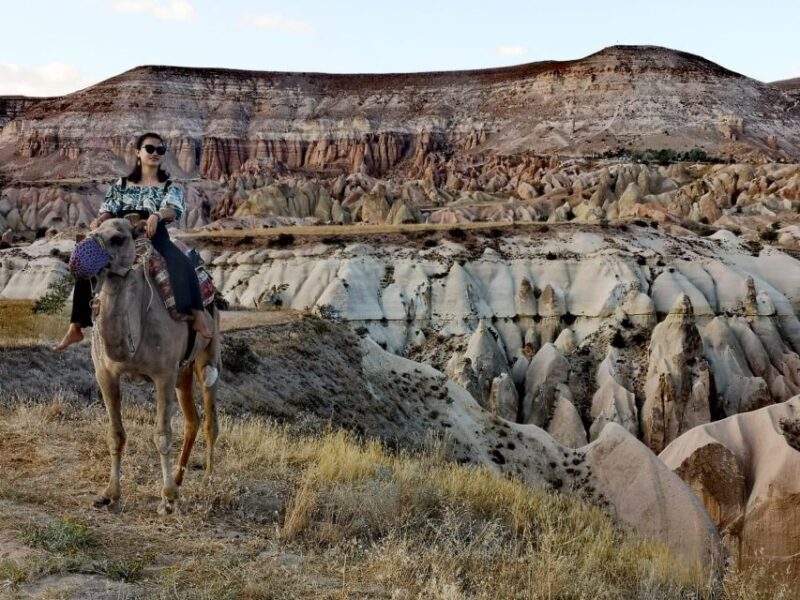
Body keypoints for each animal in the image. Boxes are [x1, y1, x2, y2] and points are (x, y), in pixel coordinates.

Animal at [89, 218, 220, 515]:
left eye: (118, 238)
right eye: (91, 234)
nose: (90, 259)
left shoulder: (162, 375)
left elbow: (162, 434)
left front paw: (168, 499)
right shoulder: (105, 374)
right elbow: (115, 434)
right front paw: (109, 494)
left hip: (208, 351)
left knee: (210, 417)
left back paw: (207, 478)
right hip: (182, 372)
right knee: (192, 420)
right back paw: (180, 478)